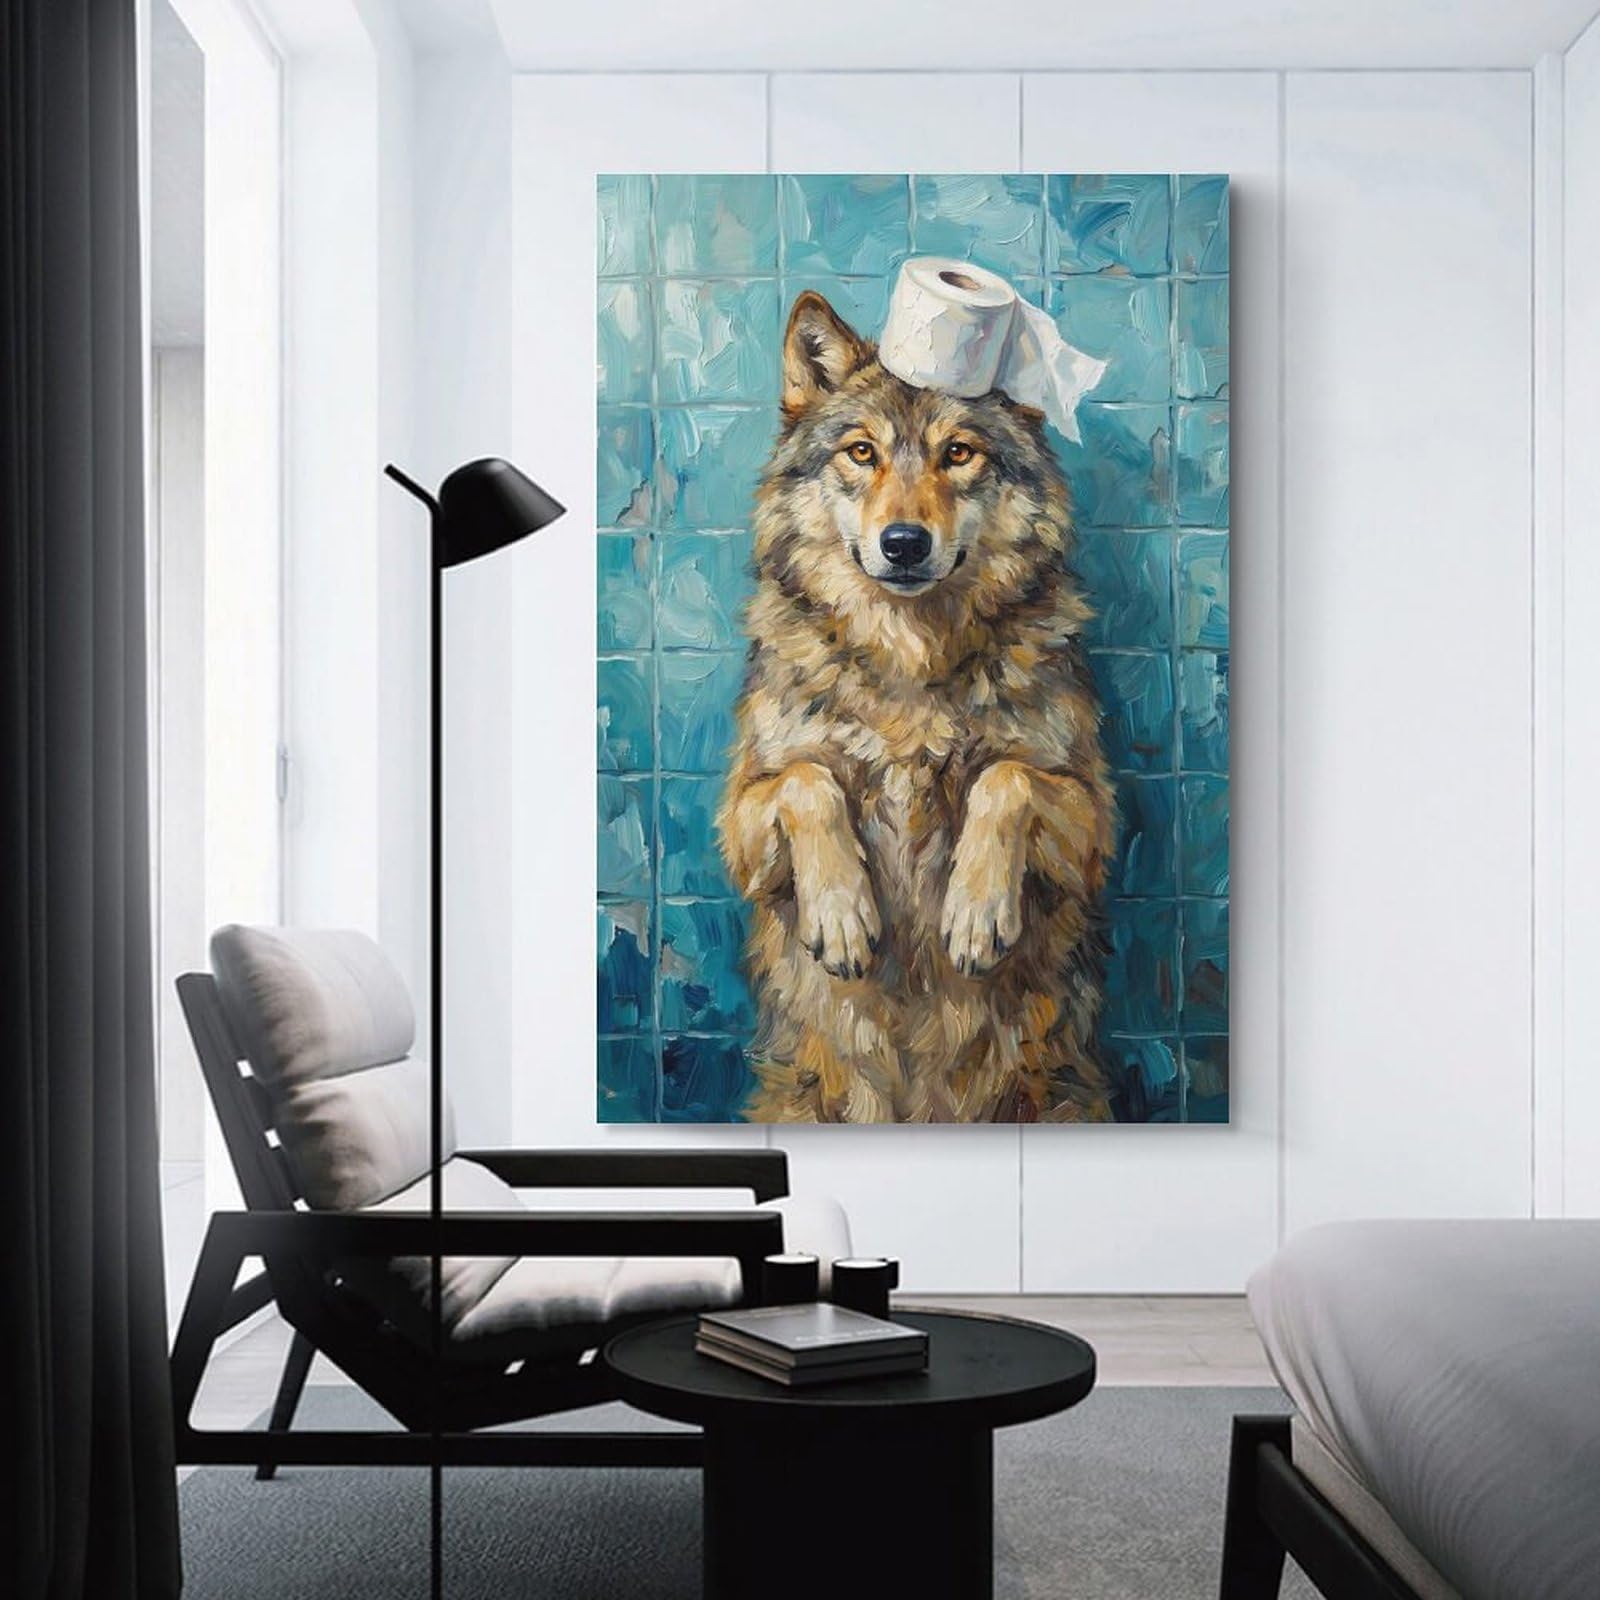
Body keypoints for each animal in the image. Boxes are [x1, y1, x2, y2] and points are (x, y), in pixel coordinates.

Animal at [717, 290, 1118, 1124]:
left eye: (958, 454)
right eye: (861, 453)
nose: (903, 543)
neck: (909, 661)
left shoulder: (1093, 823)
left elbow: (1005, 779)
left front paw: (973, 912)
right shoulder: (741, 825)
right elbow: (810, 780)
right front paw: (842, 917)